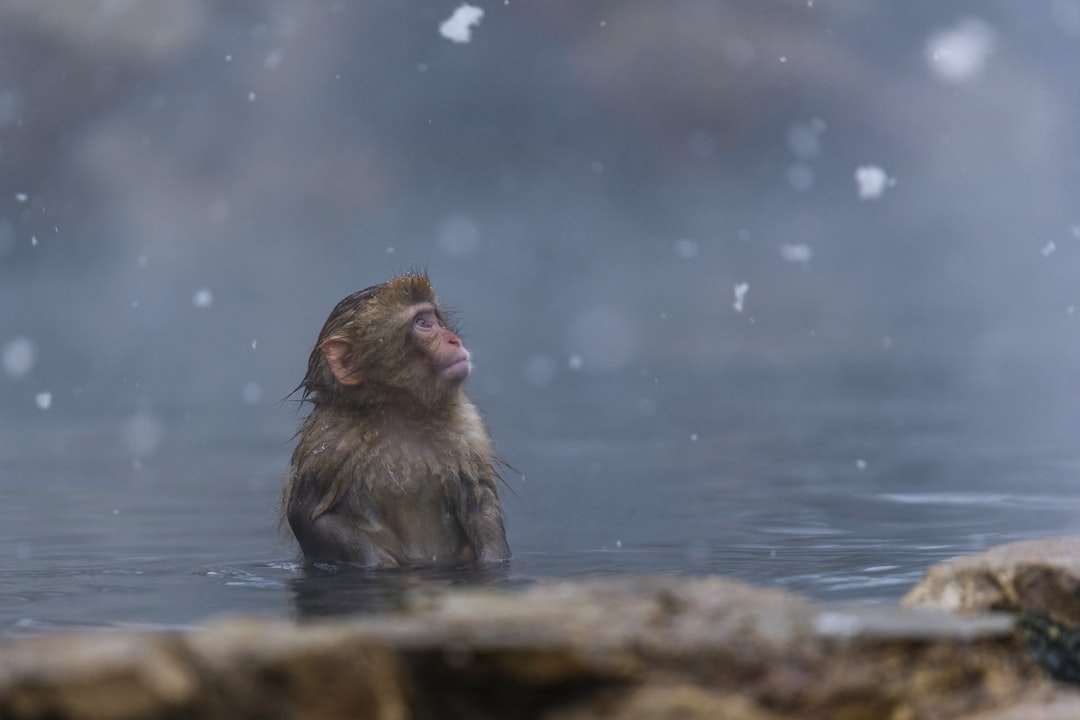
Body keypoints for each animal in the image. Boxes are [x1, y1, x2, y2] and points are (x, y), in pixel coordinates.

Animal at [280, 272, 511, 568]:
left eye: (435, 318)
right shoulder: (326, 442)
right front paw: (382, 563)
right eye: (422, 323)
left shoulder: (467, 428)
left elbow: (479, 498)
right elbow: (308, 516)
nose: (454, 340)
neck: (403, 413)